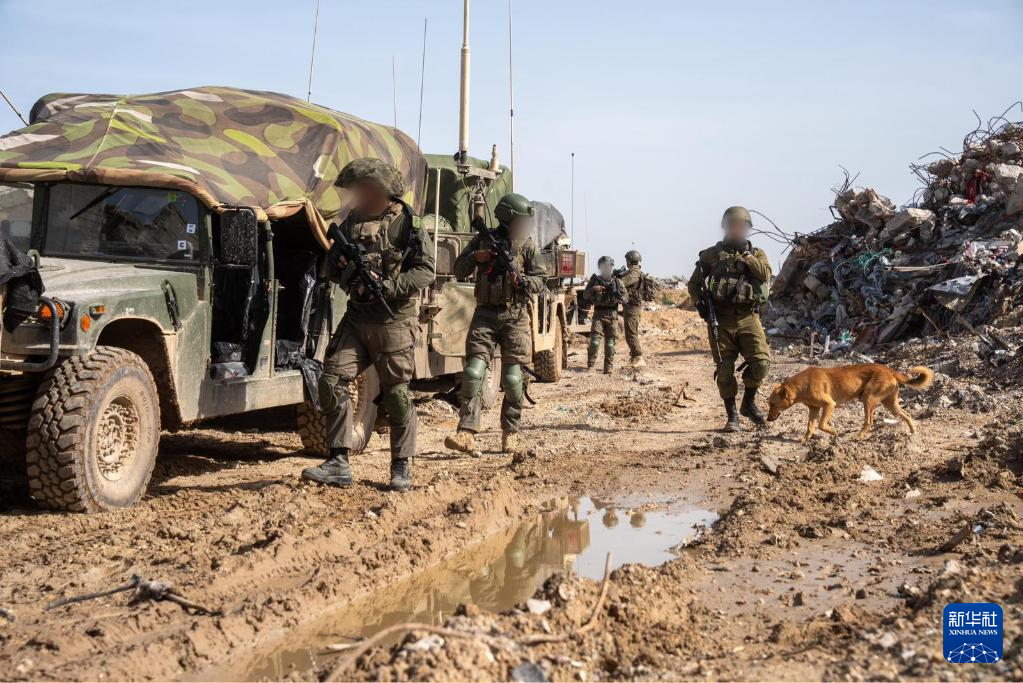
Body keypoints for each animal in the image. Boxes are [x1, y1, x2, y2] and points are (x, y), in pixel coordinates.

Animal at [766, 363, 933, 443]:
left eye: (772, 405)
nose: (767, 420)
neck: (802, 385)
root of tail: (890, 370)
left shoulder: (829, 405)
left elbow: (821, 425)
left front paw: (835, 433)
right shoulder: (813, 409)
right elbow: (810, 427)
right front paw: (805, 440)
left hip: (868, 399)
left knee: (869, 422)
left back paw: (859, 436)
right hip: (890, 404)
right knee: (907, 415)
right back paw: (913, 432)